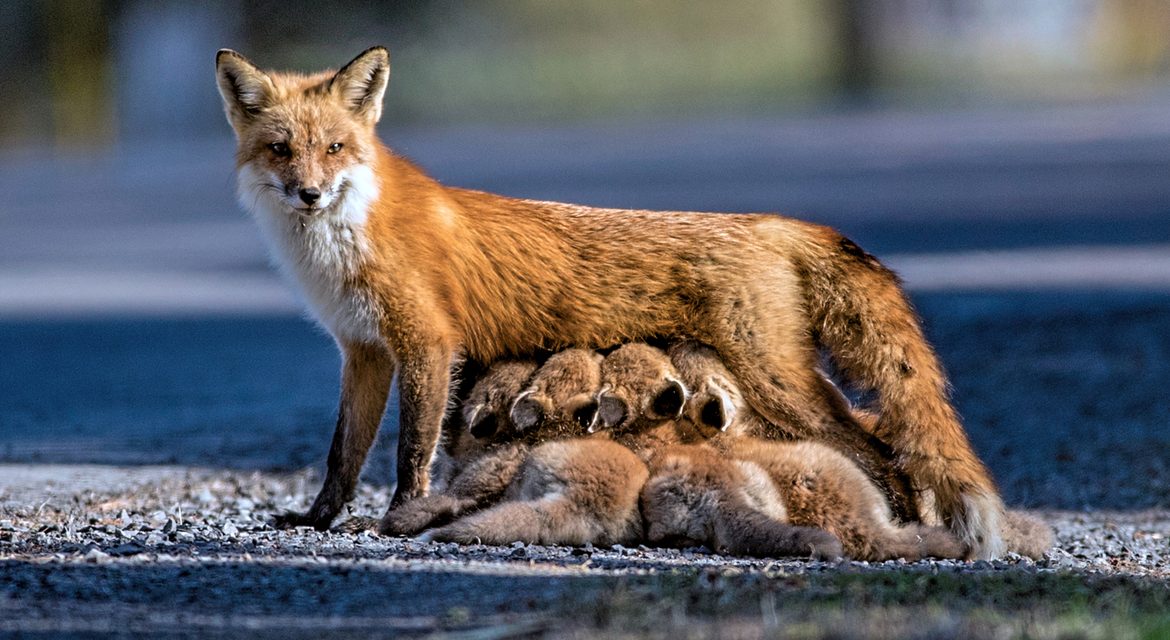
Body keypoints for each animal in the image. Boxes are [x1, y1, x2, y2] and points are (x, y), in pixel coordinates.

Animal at [215, 46, 1006, 558]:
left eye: (335, 148)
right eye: (282, 149)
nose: (309, 193)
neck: (343, 242)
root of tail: (775, 222)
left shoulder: (427, 346)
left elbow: (410, 452)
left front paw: (397, 520)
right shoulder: (365, 353)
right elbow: (341, 455)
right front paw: (316, 520)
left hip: (778, 385)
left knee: (887, 451)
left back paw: (907, 530)